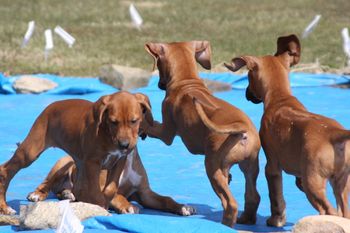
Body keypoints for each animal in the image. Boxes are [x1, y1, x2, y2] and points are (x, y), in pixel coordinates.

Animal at [0, 91, 157, 215]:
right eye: (113, 122)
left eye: (134, 121)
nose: (124, 145)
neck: (106, 134)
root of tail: (52, 105)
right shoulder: (93, 163)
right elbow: (96, 192)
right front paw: (101, 207)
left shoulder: (119, 161)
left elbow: (110, 189)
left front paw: (106, 203)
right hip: (31, 151)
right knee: (6, 170)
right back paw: (6, 207)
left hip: (78, 163)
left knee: (78, 187)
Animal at [27, 149, 196, 215]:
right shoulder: (101, 189)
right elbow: (117, 195)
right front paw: (128, 206)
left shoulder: (145, 194)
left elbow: (166, 199)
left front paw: (182, 207)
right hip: (61, 165)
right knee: (46, 184)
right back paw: (37, 195)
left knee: (63, 191)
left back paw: (68, 194)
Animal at [142, 40, 260, 228]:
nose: (160, 85)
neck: (186, 81)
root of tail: (240, 127)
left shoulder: (166, 133)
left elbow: (152, 127)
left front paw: (141, 125)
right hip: (250, 166)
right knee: (253, 197)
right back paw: (246, 220)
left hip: (212, 167)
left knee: (230, 204)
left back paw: (224, 225)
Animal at [224, 34, 350, 226]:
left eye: (248, 76)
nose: (246, 94)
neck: (280, 98)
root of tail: (333, 134)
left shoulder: (272, 167)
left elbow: (276, 197)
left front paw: (276, 220)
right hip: (341, 183)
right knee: (343, 212)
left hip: (314, 182)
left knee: (329, 210)